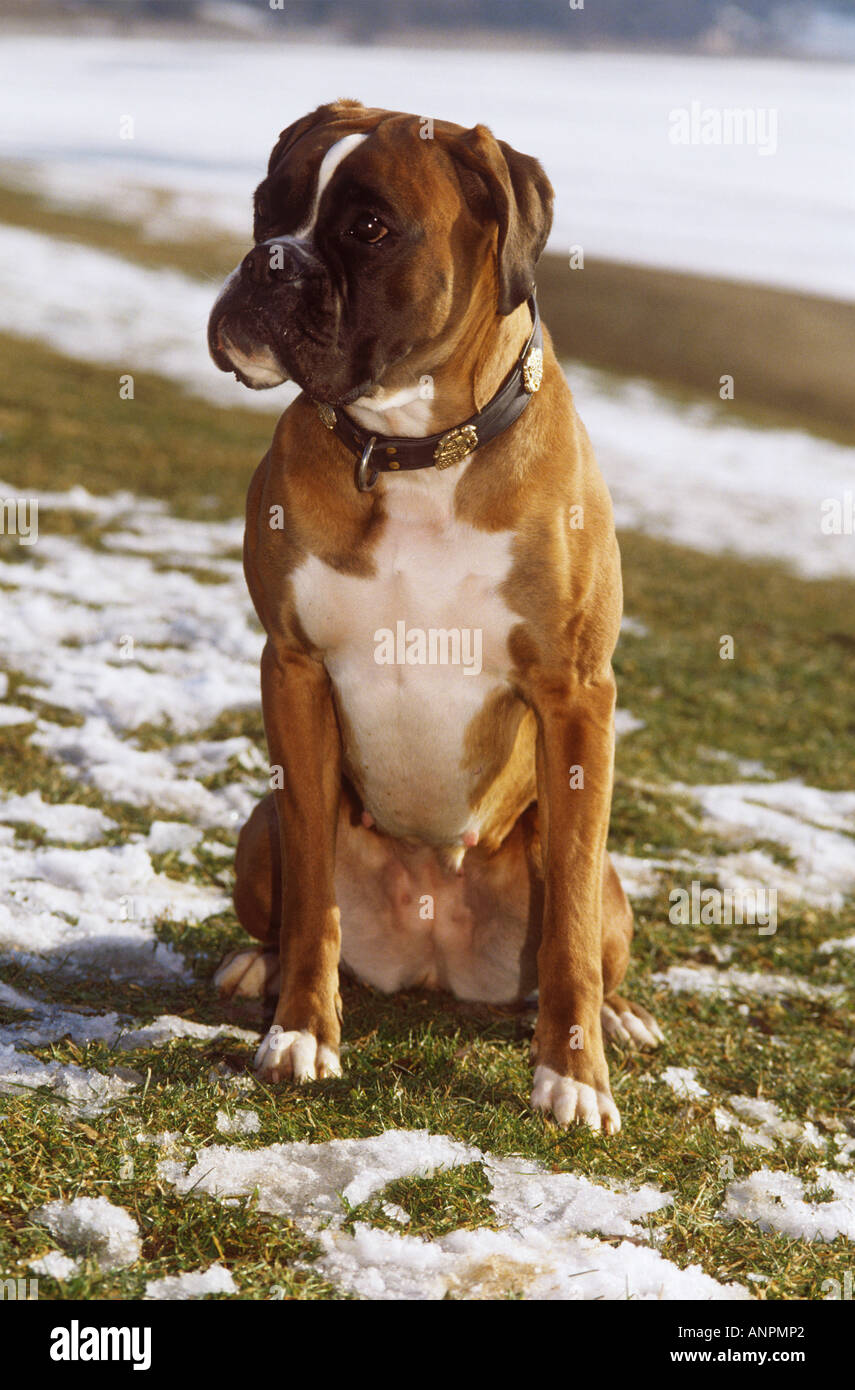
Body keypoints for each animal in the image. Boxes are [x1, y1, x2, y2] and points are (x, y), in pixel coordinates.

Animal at [207, 102, 661, 1134]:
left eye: (370, 227)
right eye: (265, 205)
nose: (268, 262)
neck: (411, 452)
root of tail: (431, 958)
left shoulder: (577, 697)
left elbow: (569, 919)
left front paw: (572, 1076)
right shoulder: (293, 669)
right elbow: (315, 902)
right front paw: (302, 1031)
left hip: (615, 890)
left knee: (592, 923)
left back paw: (617, 1018)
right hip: (259, 822)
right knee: (287, 891)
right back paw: (257, 965)